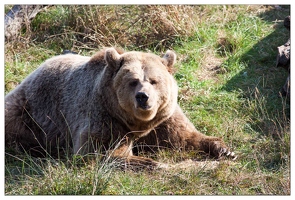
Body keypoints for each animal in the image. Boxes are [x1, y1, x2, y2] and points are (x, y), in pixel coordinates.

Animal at [4, 47, 237, 168]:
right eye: (133, 81)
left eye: (154, 81)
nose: (143, 97)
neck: (137, 124)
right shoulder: (103, 116)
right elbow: (95, 151)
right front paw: (146, 161)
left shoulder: (163, 118)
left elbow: (183, 137)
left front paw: (226, 150)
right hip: (29, 112)